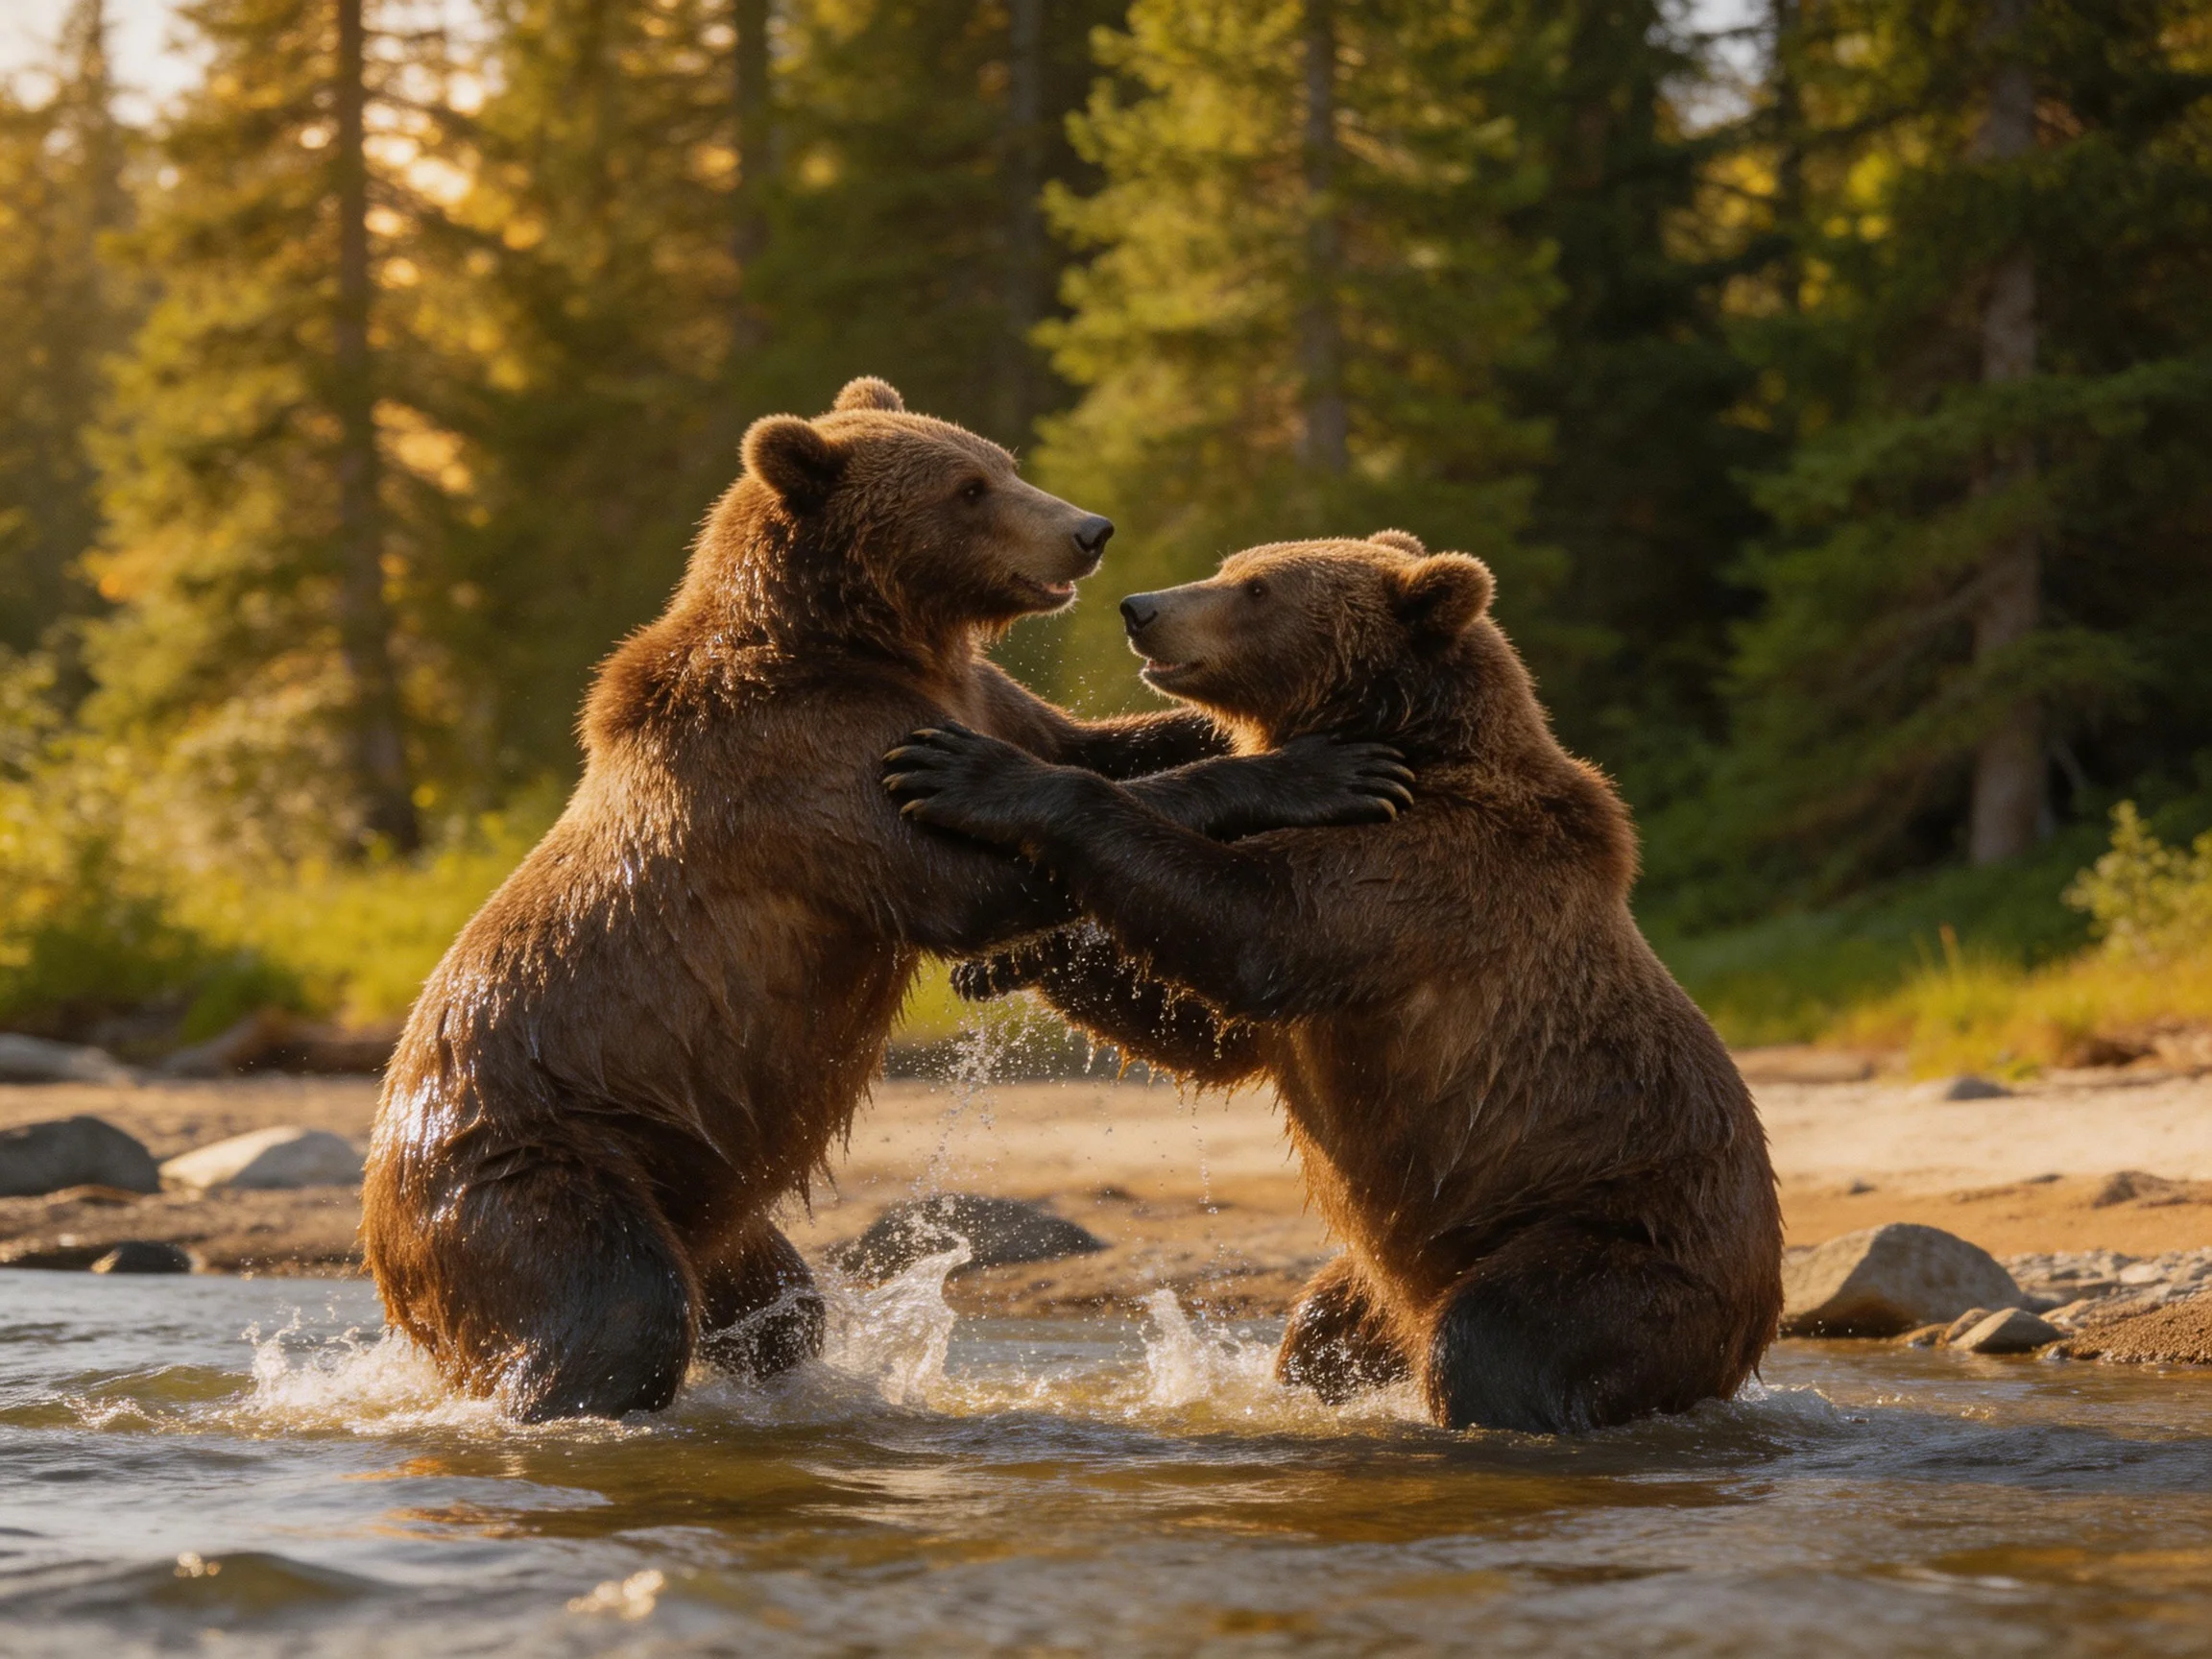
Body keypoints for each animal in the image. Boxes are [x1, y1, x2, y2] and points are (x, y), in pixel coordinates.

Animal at [361, 382, 1414, 1421]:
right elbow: (967, 881)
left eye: (1002, 462)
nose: (1088, 531)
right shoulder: (807, 769)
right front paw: (1319, 765)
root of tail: (378, 1215)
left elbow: (1097, 744)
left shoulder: (971, 695)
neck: (864, 637)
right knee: (614, 1307)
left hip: (706, 1198)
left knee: (779, 1308)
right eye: (969, 490)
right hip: (540, 1163)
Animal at [881, 530, 1784, 1435]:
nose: (1142, 609)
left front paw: (974, 774)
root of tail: (1753, 1328)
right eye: (1232, 566)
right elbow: (1215, 1036)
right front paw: (1009, 958)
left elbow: (1255, 930)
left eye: (1256, 588)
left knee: (1502, 1332)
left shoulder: (1426, 878)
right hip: (1390, 1275)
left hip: (1613, 1229)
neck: (1410, 742)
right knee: (1323, 1325)